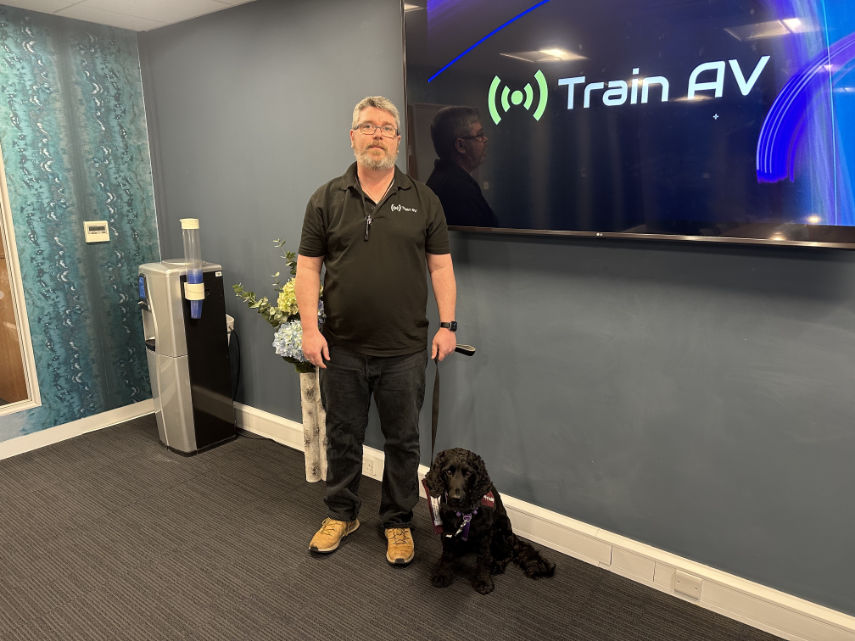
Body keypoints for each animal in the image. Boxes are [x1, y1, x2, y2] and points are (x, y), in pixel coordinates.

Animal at [422, 448, 556, 592]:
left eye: (468, 473)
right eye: (448, 472)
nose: (456, 498)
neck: (463, 512)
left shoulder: (485, 535)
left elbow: (484, 558)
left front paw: (483, 581)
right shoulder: (447, 531)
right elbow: (447, 555)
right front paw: (442, 574)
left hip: (501, 530)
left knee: (509, 552)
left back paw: (497, 564)